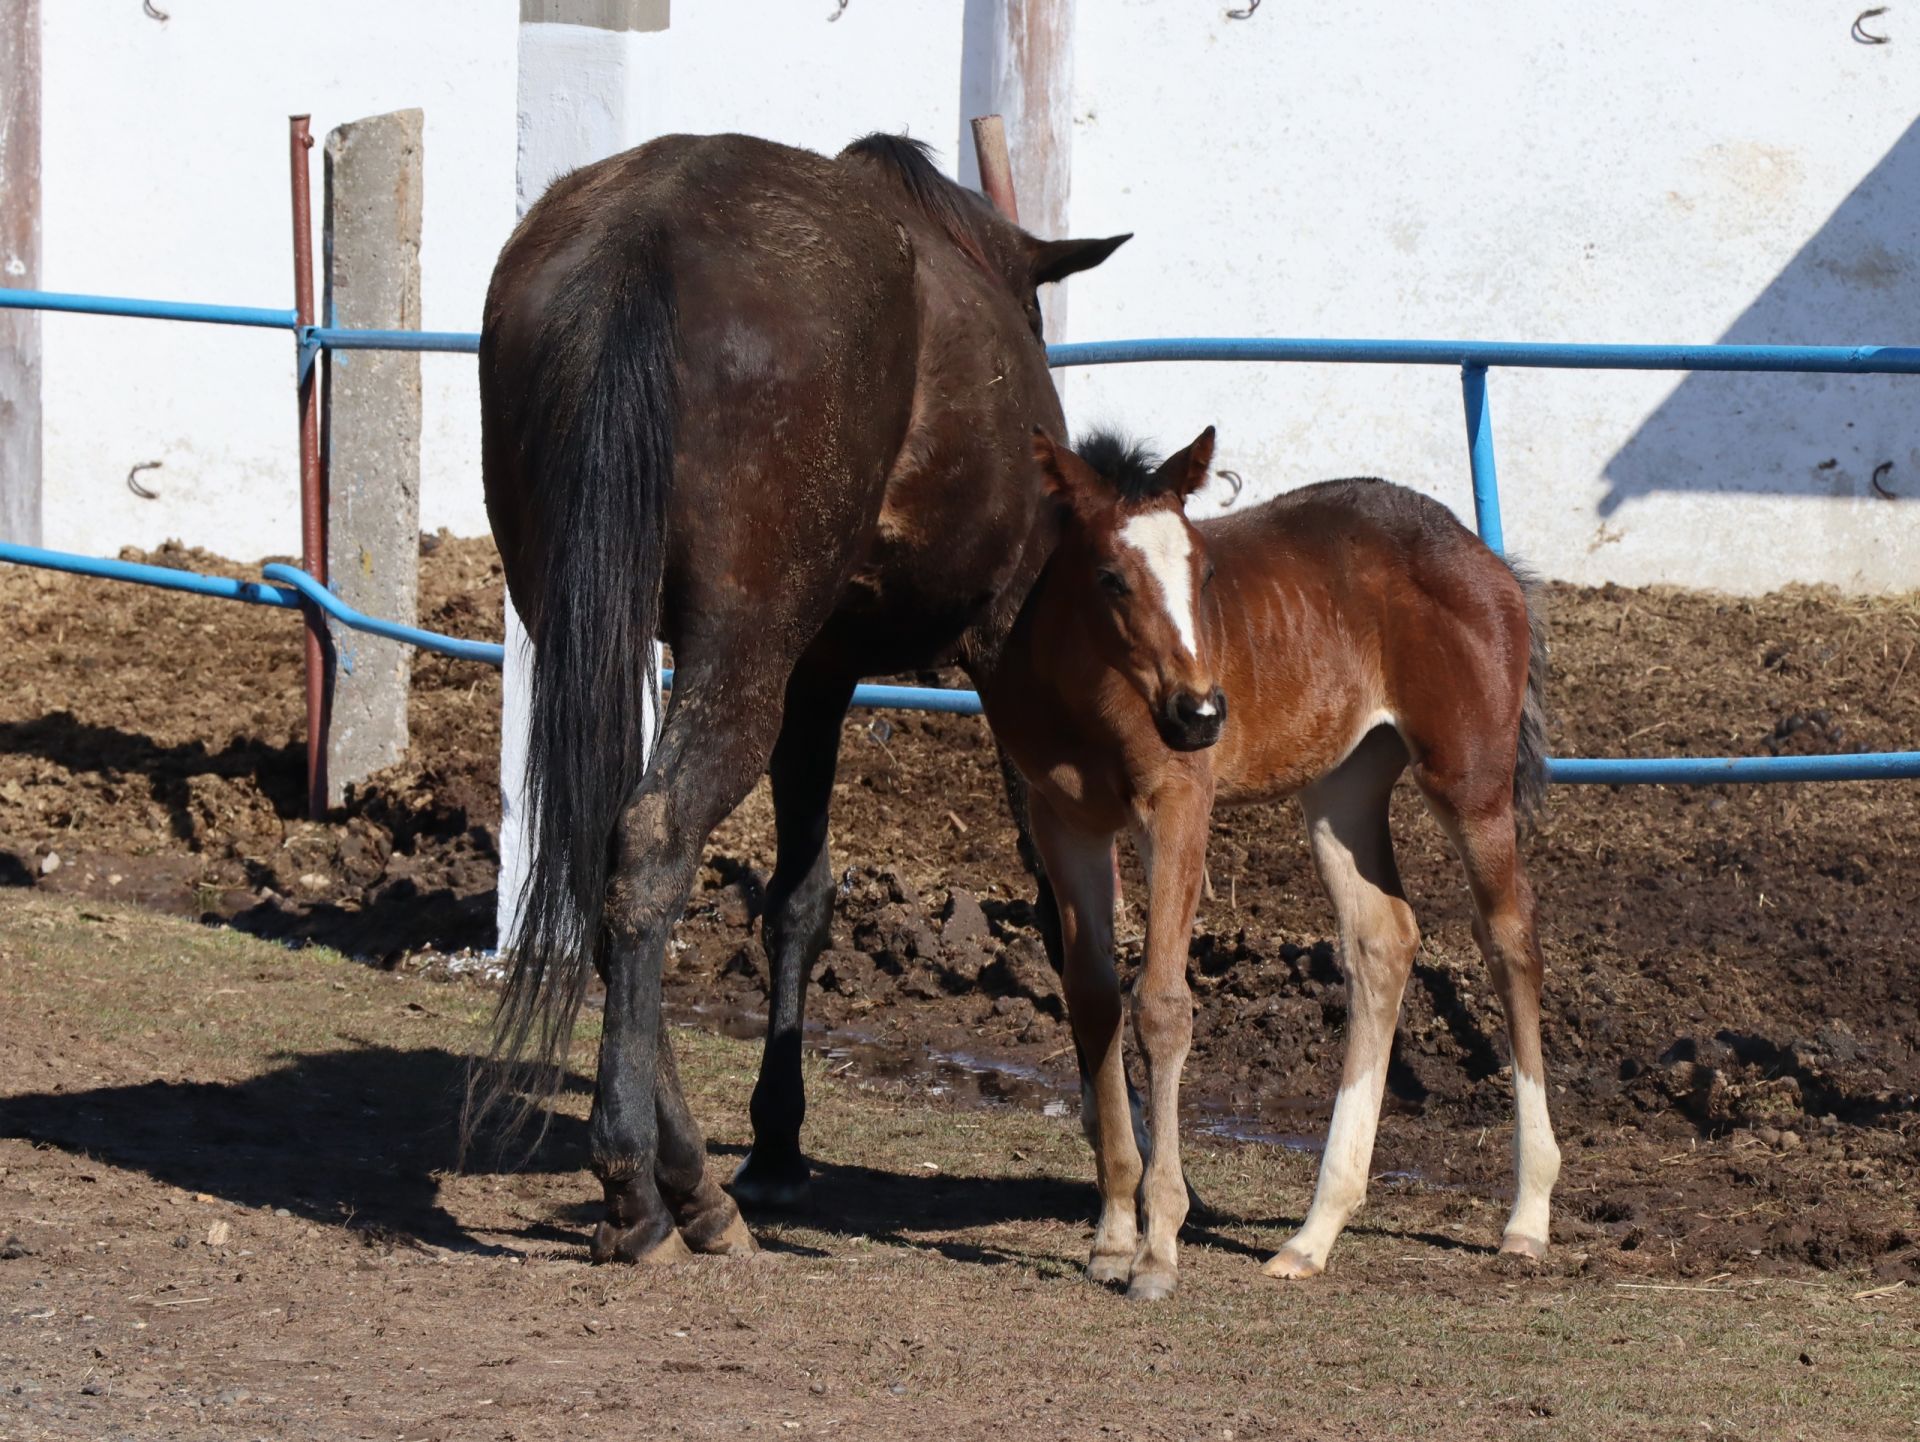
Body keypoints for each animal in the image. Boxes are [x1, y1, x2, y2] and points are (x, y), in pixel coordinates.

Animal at [975, 426, 1559, 1297]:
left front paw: (1157, 1247)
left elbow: (1161, 1005)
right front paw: (1112, 1234)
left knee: (1509, 942)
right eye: (1110, 577)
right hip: (1342, 787)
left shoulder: (1179, 804)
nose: (1201, 712)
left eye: (1205, 571)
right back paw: (1313, 1235)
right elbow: (1093, 999)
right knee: (1383, 939)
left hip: (1471, 782)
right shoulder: (1063, 821)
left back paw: (1527, 1216)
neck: (1088, 699)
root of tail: (1485, 559)